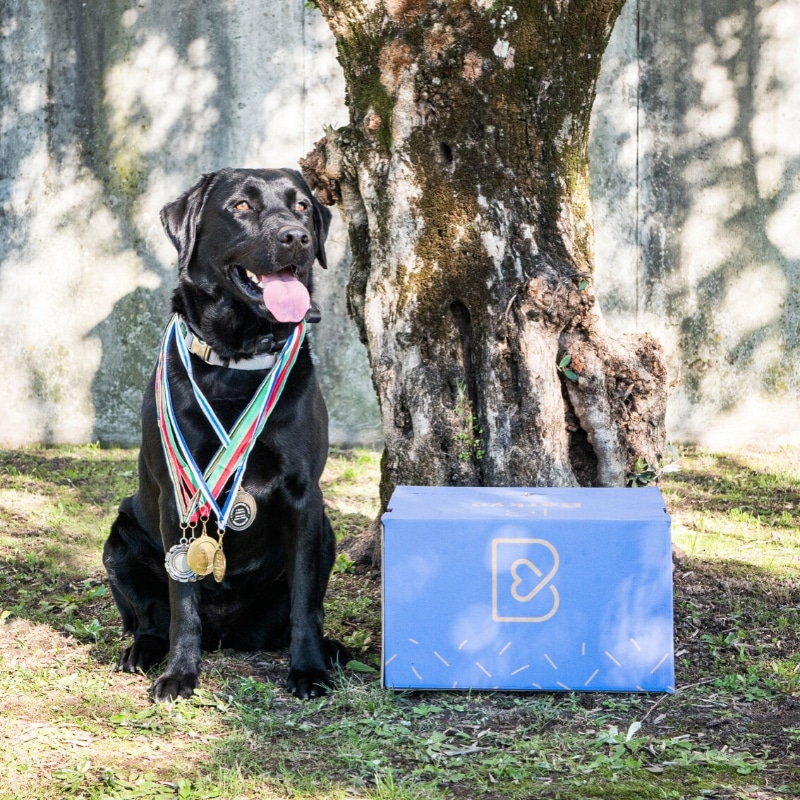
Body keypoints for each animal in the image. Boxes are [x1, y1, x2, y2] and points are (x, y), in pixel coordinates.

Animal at [104, 169, 346, 700]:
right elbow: (182, 604)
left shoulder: (304, 498)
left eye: (302, 206)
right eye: (240, 206)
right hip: (119, 541)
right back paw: (143, 652)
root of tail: (227, 634)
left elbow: (305, 602)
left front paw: (309, 670)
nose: (296, 237)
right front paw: (179, 674)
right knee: (150, 618)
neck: (238, 362)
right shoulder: (176, 497)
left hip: (327, 533)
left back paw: (332, 650)